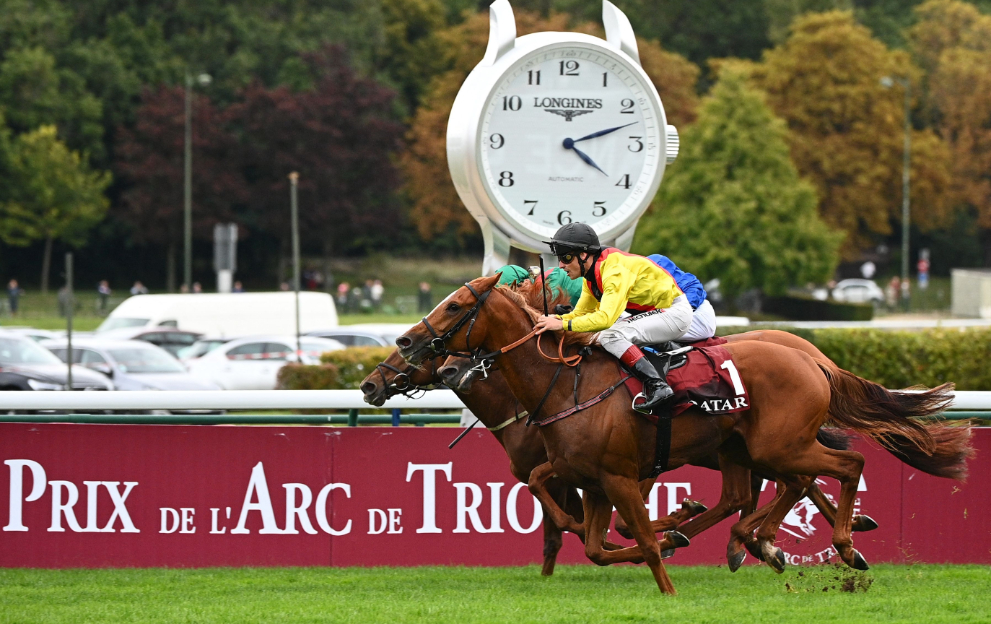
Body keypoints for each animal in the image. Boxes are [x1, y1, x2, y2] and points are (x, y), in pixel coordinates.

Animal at [400, 276, 972, 596]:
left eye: (456, 306)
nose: (407, 342)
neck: (563, 384)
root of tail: (812, 359)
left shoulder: (621, 474)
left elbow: (623, 533)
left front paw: (667, 569)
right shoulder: (588, 474)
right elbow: (585, 532)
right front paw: (669, 536)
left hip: (776, 445)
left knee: (840, 467)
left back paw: (840, 544)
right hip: (751, 449)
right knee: (769, 490)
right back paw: (758, 542)